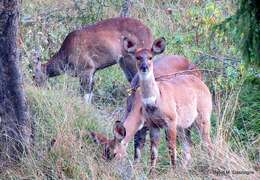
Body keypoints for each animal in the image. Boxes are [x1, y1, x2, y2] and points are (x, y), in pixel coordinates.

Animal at [90, 37, 212, 173]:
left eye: (115, 154)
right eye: (104, 152)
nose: (107, 169)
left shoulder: (159, 123)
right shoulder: (146, 127)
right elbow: (140, 152)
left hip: (199, 118)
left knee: (204, 143)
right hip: (184, 125)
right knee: (188, 144)